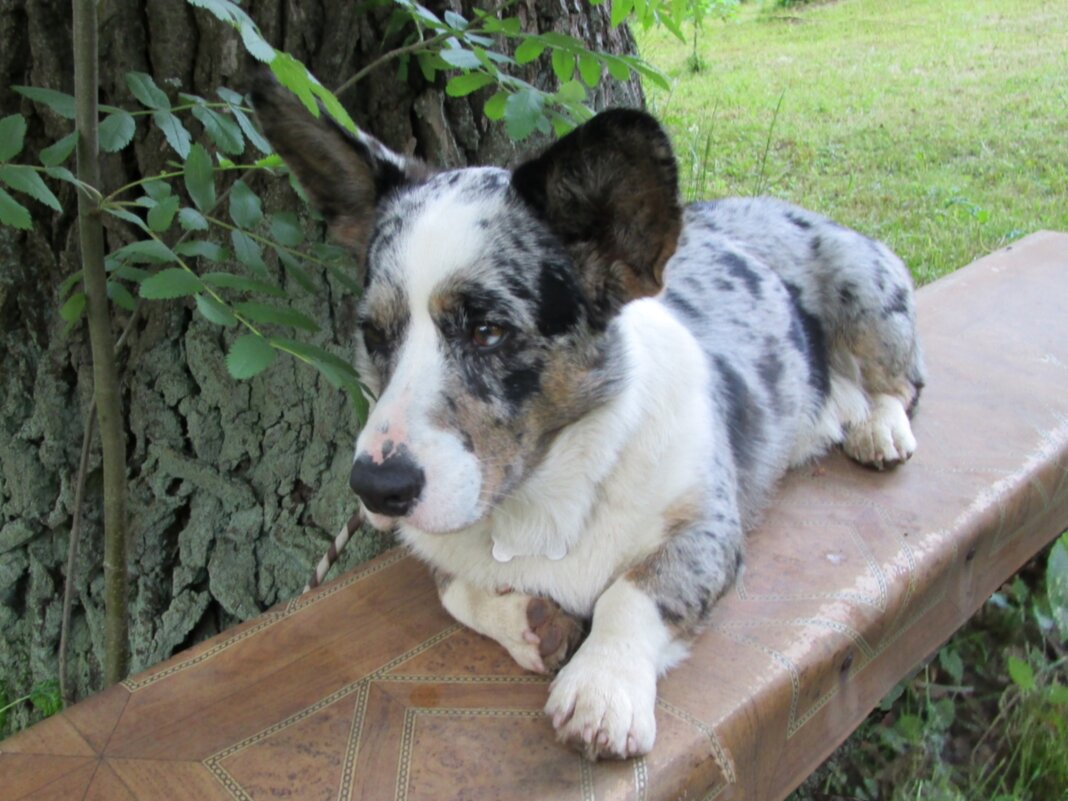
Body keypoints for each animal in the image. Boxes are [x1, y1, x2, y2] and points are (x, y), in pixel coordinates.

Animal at [252, 78, 927, 760]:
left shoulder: (707, 529)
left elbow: (631, 594)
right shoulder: (444, 556)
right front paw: (532, 624)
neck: (539, 504)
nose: (376, 489)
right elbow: (455, 592)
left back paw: (879, 427)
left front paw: (602, 691)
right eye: (373, 333)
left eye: (488, 330)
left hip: (864, 292)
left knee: (901, 382)